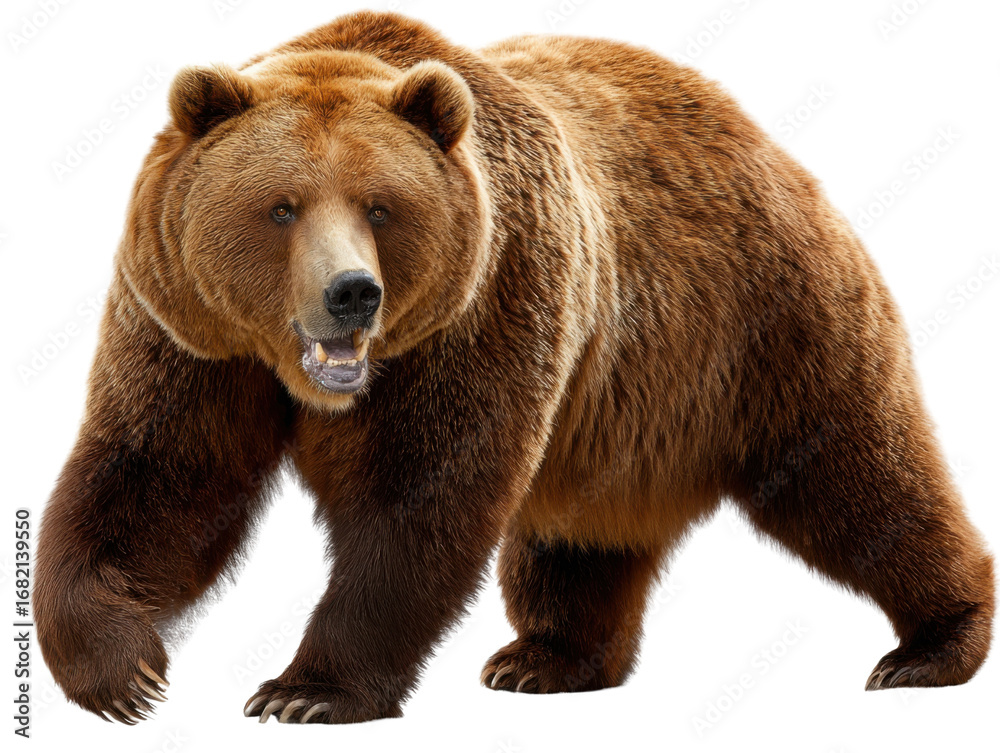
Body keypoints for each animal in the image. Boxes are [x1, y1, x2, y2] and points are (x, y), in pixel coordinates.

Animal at [35, 11, 993, 725]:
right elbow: (159, 477)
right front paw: (124, 673)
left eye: (380, 205)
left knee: (858, 478)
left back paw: (931, 644)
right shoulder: (193, 333)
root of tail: (766, 142)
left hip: (764, 323)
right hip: (621, 409)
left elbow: (421, 495)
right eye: (281, 206)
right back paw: (547, 657)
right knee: (579, 533)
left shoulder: (482, 307)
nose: (353, 294)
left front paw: (305, 689)